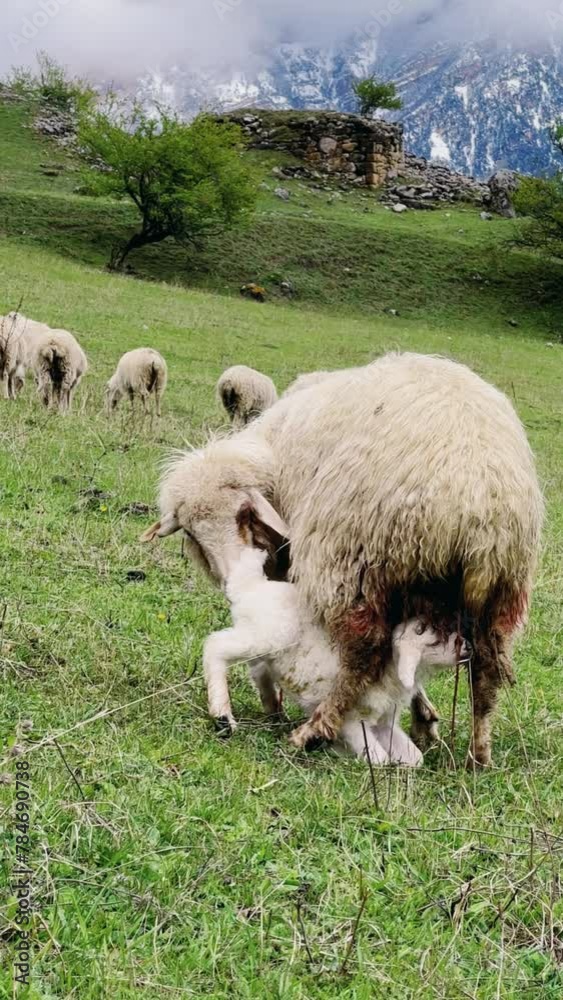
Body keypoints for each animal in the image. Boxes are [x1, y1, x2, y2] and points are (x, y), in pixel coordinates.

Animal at [203, 546, 470, 765]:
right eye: (433, 639)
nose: (468, 647)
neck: (389, 670)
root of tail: (251, 587)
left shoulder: (383, 722)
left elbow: (414, 758)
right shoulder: (352, 721)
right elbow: (379, 758)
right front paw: (341, 752)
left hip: (266, 651)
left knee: (258, 671)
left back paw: (273, 710)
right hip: (260, 639)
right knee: (215, 646)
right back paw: (222, 714)